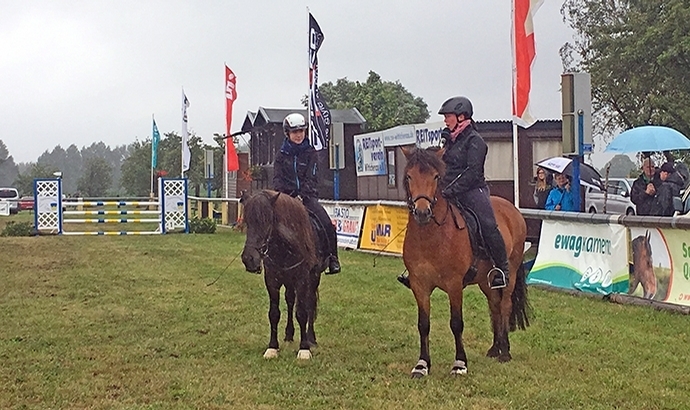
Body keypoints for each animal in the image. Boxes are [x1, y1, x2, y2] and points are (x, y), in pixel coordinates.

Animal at [239, 189, 326, 358]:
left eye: (266, 221)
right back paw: (289, 334)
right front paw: (272, 347)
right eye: (248, 221)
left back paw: (311, 339)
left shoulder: (302, 279)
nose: (248, 259)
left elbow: (302, 313)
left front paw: (304, 349)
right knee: (290, 301)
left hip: (313, 278)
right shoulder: (272, 280)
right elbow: (274, 313)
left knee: (310, 303)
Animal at [398, 148, 528, 378]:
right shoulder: (419, 285)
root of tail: (512, 209)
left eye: (436, 177)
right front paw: (422, 365)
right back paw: (495, 348)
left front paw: (459, 364)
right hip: (486, 280)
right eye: (409, 177)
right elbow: (423, 324)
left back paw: (505, 351)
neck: (431, 236)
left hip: (510, 273)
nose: (422, 212)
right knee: (494, 305)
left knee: (504, 305)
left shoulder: (454, 285)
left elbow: (456, 323)